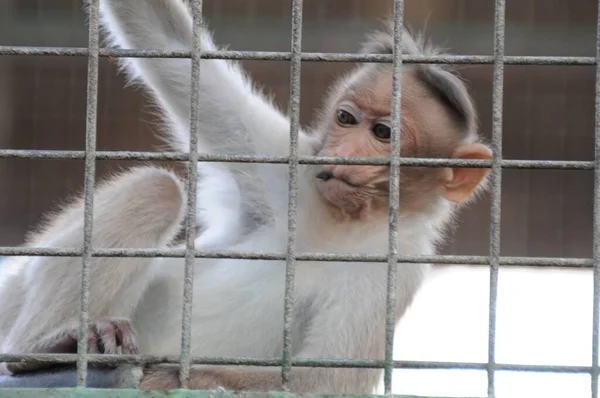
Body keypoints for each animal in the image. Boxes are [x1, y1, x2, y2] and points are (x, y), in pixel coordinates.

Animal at [0, 0, 492, 392]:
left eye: (384, 132)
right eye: (346, 119)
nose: (344, 153)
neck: (343, 223)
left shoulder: (397, 267)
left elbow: (321, 383)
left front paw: (177, 377)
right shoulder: (287, 168)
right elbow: (167, 40)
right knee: (157, 189)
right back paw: (45, 347)